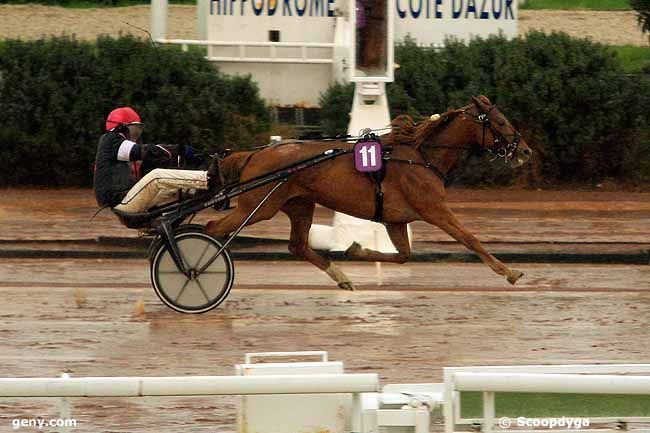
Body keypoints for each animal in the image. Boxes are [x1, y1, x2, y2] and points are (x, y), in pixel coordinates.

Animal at [206, 96, 532, 288]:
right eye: (500, 121)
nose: (526, 151)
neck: (421, 156)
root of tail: (254, 154)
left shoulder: (395, 219)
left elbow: (403, 255)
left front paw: (356, 250)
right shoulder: (434, 209)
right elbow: (469, 238)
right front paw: (508, 271)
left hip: (299, 204)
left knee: (297, 245)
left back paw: (341, 277)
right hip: (258, 207)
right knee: (212, 228)